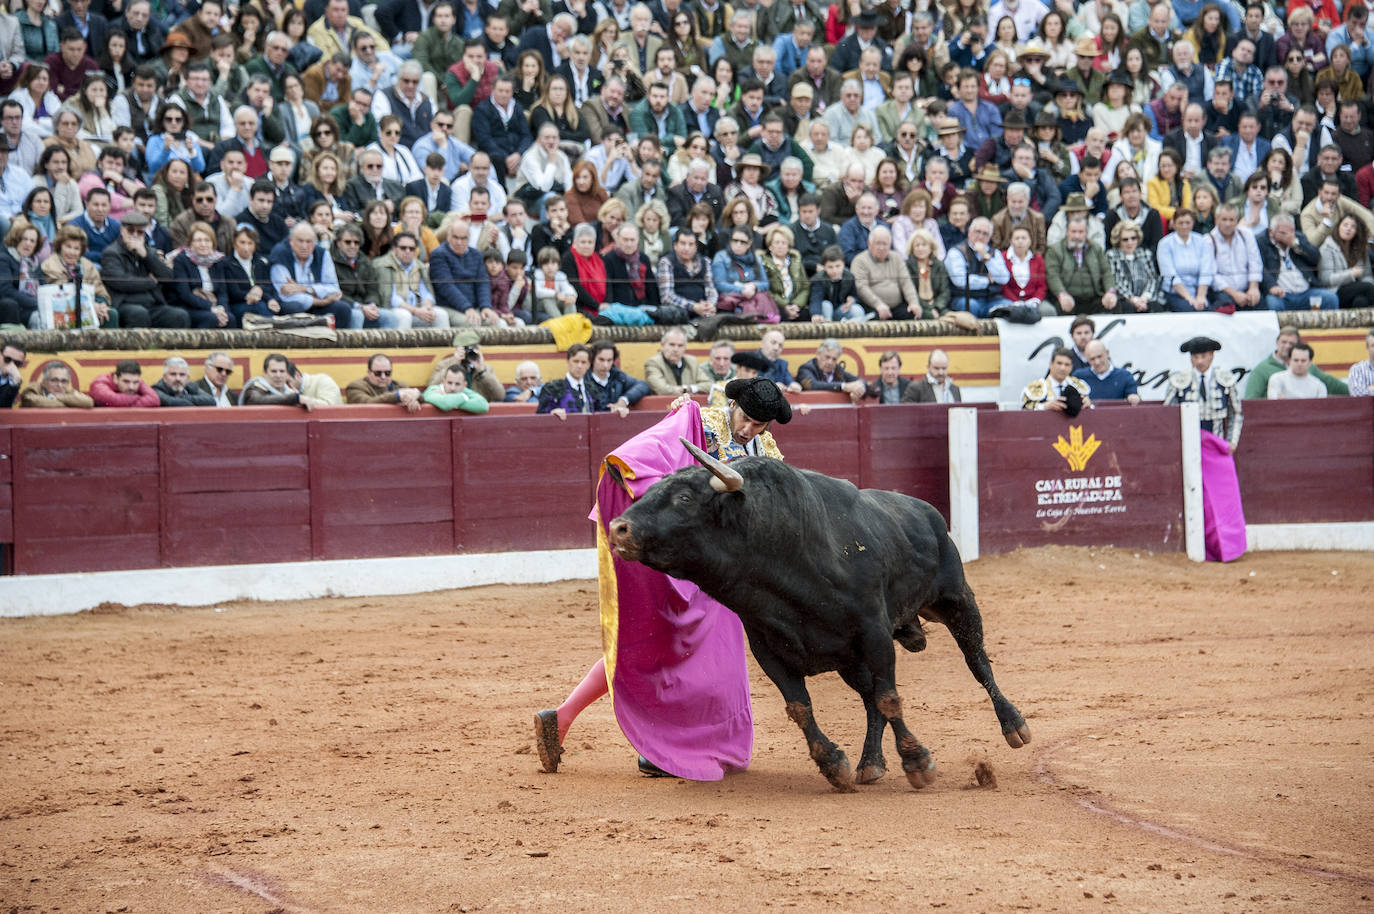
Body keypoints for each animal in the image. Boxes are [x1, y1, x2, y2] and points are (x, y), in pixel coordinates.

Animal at [607, 439, 1027, 786]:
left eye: (683, 498)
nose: (618, 528)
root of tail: (928, 512)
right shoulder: (770, 650)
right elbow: (801, 708)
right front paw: (833, 765)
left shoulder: (875, 634)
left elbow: (890, 697)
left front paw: (918, 763)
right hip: (850, 661)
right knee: (869, 698)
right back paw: (870, 763)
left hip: (956, 600)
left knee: (977, 662)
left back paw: (1015, 726)